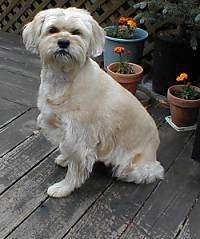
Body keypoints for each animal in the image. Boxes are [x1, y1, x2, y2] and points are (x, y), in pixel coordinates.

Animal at [22, 7, 164, 198]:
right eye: (52, 30)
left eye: (76, 32)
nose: (63, 42)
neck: (63, 77)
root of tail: (155, 146)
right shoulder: (60, 126)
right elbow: (66, 149)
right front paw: (64, 159)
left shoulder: (79, 136)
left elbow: (75, 169)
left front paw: (63, 188)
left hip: (134, 165)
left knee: (146, 173)